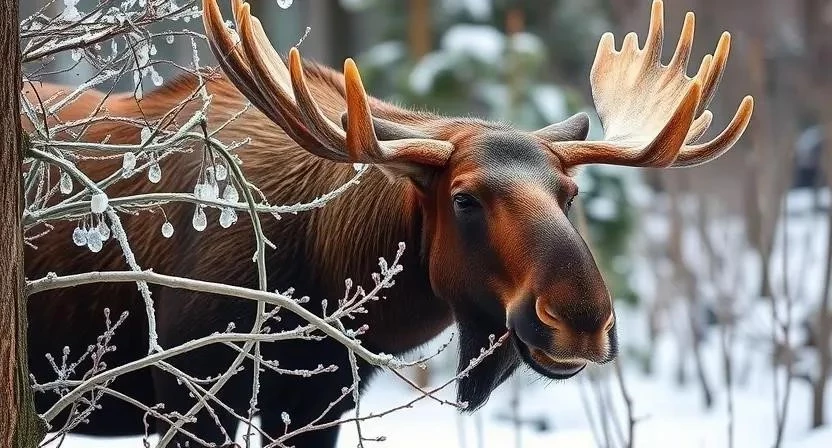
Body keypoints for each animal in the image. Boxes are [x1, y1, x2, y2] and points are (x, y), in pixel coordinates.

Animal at [24, 0, 753, 446]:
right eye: (464, 199)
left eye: (569, 193)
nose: (579, 320)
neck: (324, 273)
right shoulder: (187, 396)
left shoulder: (317, 405)